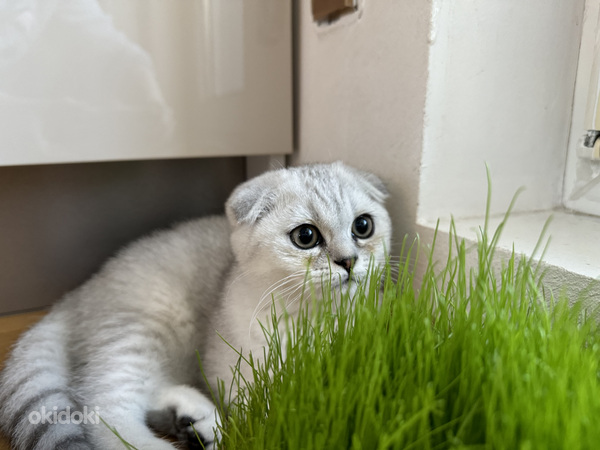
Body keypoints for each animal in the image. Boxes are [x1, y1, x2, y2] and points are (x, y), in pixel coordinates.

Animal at [0, 162, 392, 450]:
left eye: (363, 226)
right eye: (306, 236)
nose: (349, 261)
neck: (318, 318)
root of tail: (77, 293)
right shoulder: (235, 371)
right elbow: (267, 410)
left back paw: (196, 421)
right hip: (144, 328)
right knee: (105, 410)